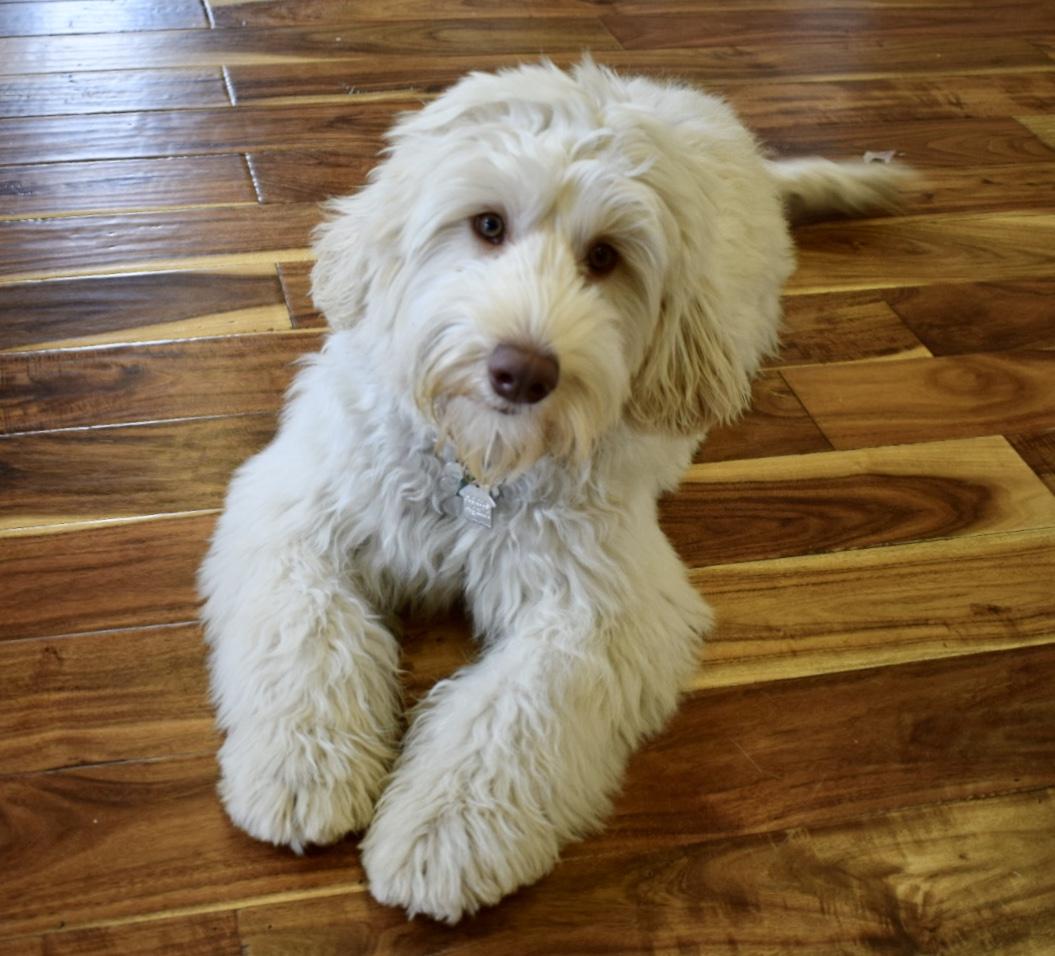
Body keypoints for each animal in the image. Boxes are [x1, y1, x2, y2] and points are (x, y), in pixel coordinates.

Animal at [199, 58, 907, 923]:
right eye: (487, 225)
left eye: (604, 257)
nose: (523, 371)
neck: (475, 467)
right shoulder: (296, 508)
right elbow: (305, 629)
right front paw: (303, 764)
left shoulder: (602, 604)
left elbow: (520, 710)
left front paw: (446, 833)